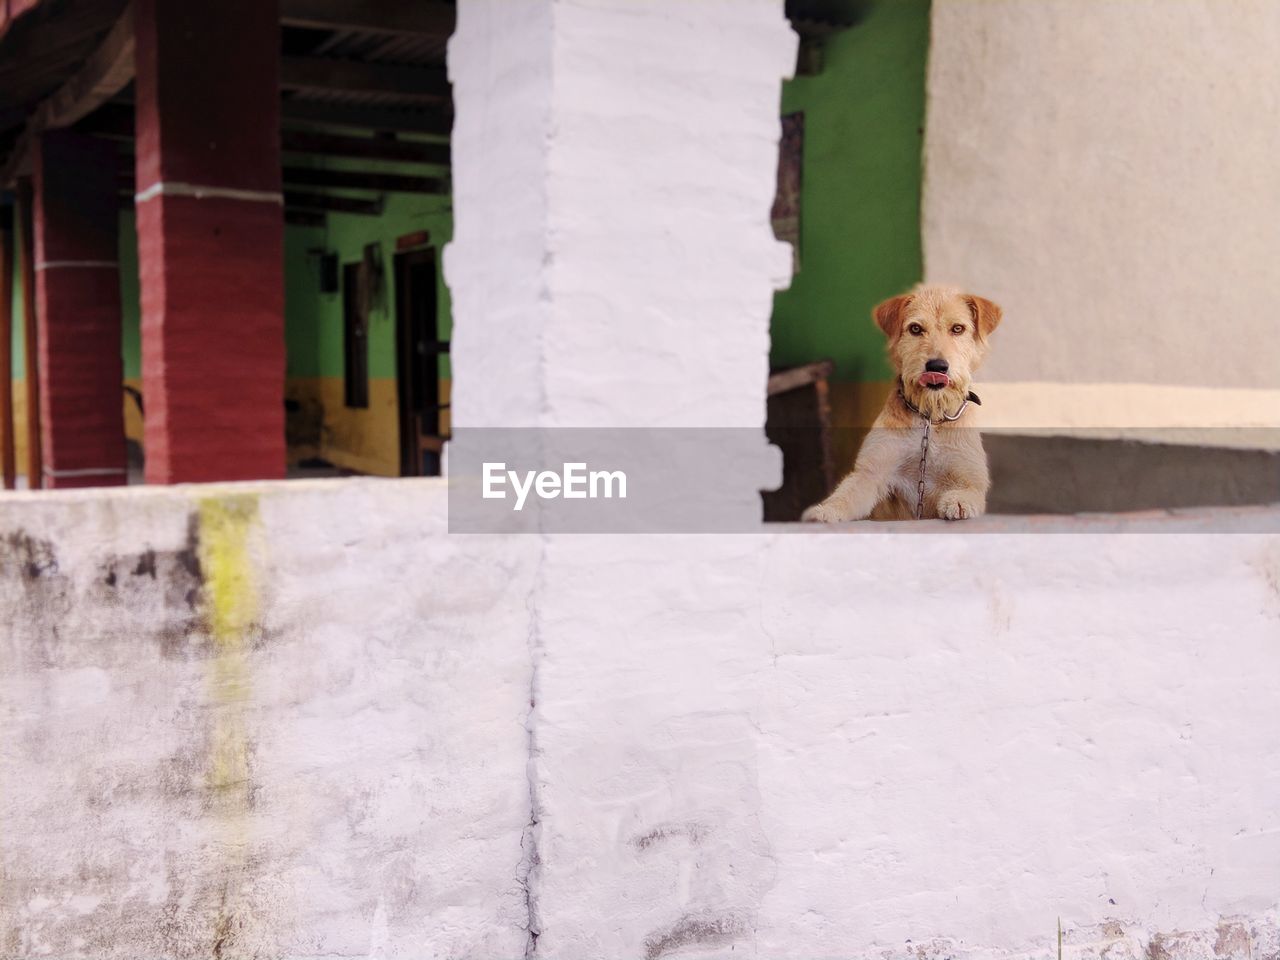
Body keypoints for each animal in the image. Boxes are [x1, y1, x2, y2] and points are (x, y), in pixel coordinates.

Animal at [798, 285, 998, 527]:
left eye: (958, 328)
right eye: (915, 328)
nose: (937, 366)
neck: (929, 419)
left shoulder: (969, 477)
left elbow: (968, 491)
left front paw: (958, 503)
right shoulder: (871, 471)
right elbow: (847, 495)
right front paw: (826, 511)